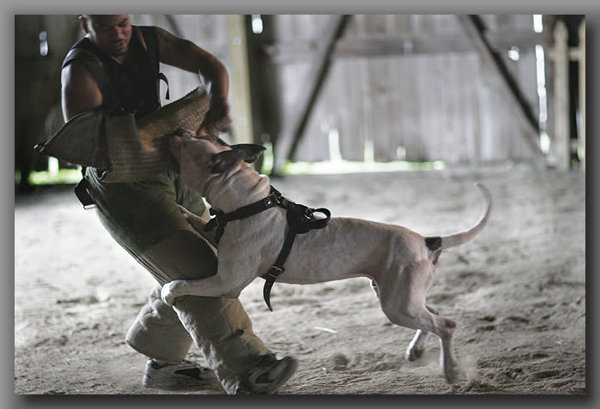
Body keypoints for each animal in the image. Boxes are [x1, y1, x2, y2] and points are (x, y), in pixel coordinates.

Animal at [164, 135, 492, 382]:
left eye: (188, 143)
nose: (175, 133)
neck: (249, 201)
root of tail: (427, 241)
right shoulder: (216, 239)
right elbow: (197, 220)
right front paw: (179, 211)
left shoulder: (226, 281)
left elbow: (186, 284)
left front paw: (170, 291)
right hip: (401, 295)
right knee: (432, 312)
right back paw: (417, 351)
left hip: (398, 304)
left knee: (445, 324)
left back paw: (450, 371)